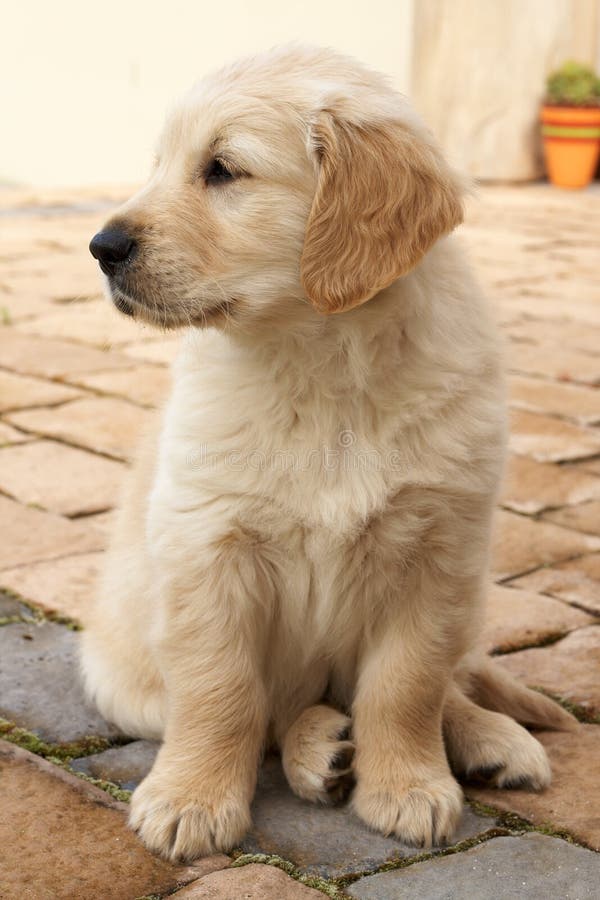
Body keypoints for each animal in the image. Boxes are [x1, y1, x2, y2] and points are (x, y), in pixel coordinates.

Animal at [81, 45, 576, 860]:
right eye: (159, 166)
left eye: (223, 169)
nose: (102, 248)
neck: (321, 360)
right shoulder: (205, 547)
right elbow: (222, 691)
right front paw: (191, 798)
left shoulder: (439, 553)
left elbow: (407, 685)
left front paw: (406, 785)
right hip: (120, 672)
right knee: (281, 713)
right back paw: (320, 748)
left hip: (470, 595)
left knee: (448, 680)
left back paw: (487, 738)